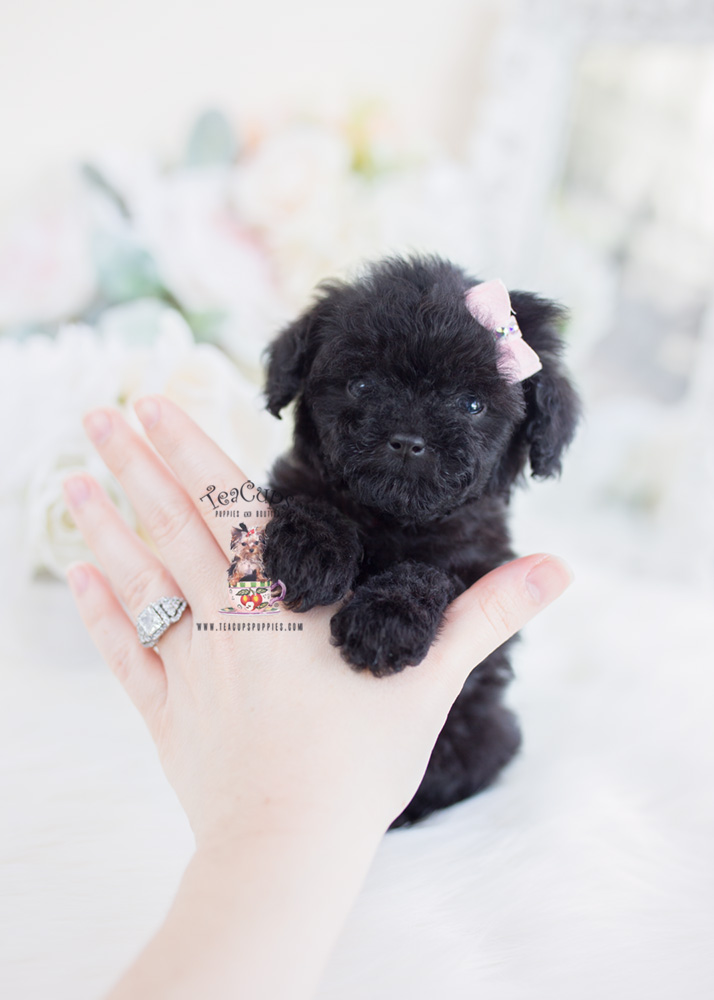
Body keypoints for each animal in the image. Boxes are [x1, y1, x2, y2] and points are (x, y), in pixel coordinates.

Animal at [258, 254, 576, 824]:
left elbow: (430, 574)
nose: (408, 441)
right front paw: (311, 553)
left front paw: (385, 620)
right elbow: (313, 501)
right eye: (362, 386)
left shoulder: (476, 558)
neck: (394, 518)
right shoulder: (297, 482)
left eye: (472, 404)